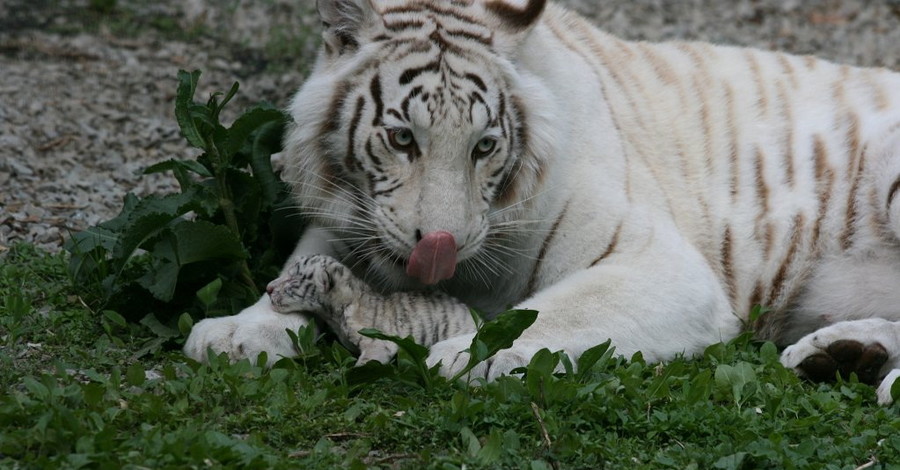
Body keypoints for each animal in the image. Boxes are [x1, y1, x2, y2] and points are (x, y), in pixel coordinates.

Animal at [185, 0, 900, 404]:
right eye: (402, 137)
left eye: (485, 145)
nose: (439, 248)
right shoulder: (358, 217)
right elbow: (302, 262)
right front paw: (240, 332)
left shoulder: (658, 265)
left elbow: (544, 315)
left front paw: (458, 355)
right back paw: (839, 356)